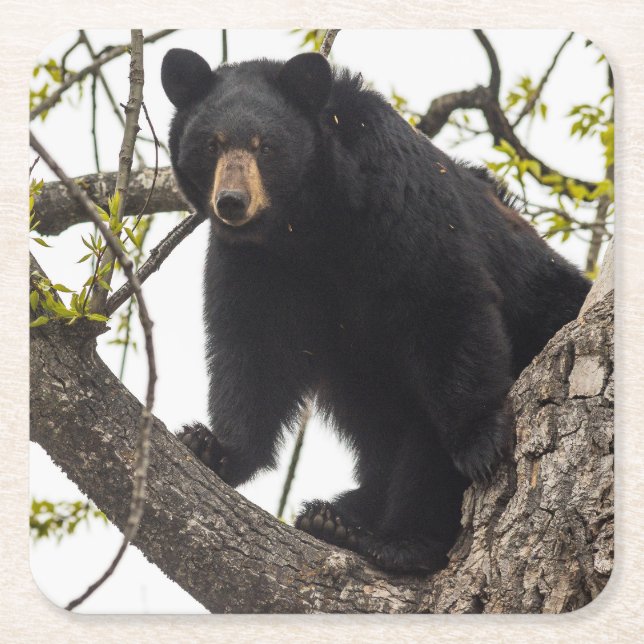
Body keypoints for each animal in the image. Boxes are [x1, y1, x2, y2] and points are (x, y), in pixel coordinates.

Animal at [161, 48, 591, 573]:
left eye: (266, 147)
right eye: (212, 145)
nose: (232, 202)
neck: (308, 225)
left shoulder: (399, 204)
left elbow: (445, 304)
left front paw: (480, 441)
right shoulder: (255, 263)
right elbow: (252, 348)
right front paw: (214, 446)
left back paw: (395, 539)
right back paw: (336, 516)